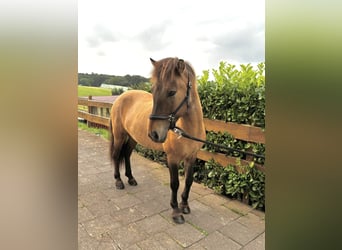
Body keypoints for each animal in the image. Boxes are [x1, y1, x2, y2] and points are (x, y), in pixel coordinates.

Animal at [109, 56, 206, 223]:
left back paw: (131, 178)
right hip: (120, 136)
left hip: (133, 138)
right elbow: (175, 183)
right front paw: (176, 211)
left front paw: (185, 205)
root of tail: (120, 98)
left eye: (172, 92)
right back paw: (119, 181)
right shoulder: (172, 158)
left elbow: (188, 181)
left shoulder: (192, 157)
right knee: (116, 155)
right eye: (153, 91)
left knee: (126, 154)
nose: (153, 134)